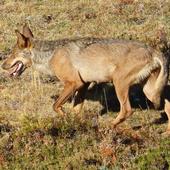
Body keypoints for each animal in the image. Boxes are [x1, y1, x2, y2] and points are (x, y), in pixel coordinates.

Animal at [0, 24, 169, 131]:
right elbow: (75, 109)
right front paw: (75, 124)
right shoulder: (83, 85)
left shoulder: (73, 83)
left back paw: (109, 127)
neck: (51, 55)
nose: (2, 65)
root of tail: (153, 50)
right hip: (149, 91)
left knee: (127, 110)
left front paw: (66, 118)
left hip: (120, 84)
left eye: (12, 54)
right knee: (167, 105)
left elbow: (55, 105)